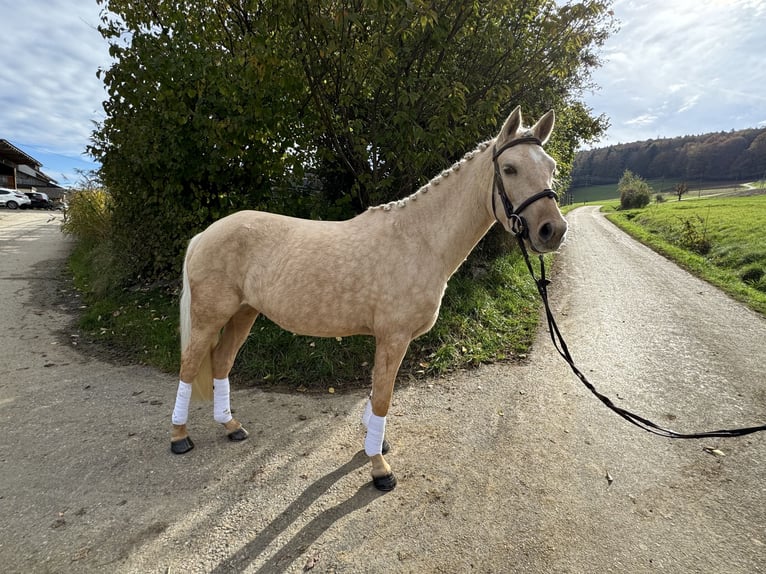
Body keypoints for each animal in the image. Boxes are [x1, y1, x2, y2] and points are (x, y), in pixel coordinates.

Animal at [174, 107, 568, 490]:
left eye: (551, 167)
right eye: (509, 168)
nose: (553, 230)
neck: (419, 240)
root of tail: (204, 234)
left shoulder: (392, 338)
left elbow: (378, 394)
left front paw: (376, 443)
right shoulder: (393, 337)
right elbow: (382, 396)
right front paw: (379, 469)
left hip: (244, 312)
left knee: (222, 361)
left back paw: (231, 427)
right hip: (210, 316)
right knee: (190, 365)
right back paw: (180, 437)